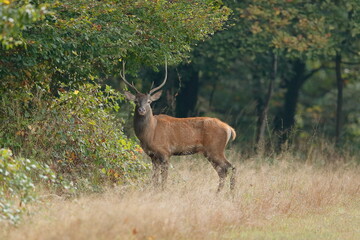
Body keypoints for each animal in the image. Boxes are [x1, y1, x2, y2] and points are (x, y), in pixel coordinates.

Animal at [121, 62, 236, 193]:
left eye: (149, 101)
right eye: (136, 101)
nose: (141, 110)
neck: (150, 134)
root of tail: (229, 129)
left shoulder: (165, 152)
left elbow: (164, 178)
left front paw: (163, 191)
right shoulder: (152, 155)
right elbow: (154, 179)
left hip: (215, 148)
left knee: (230, 167)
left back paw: (228, 193)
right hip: (212, 151)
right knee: (223, 171)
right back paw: (220, 193)